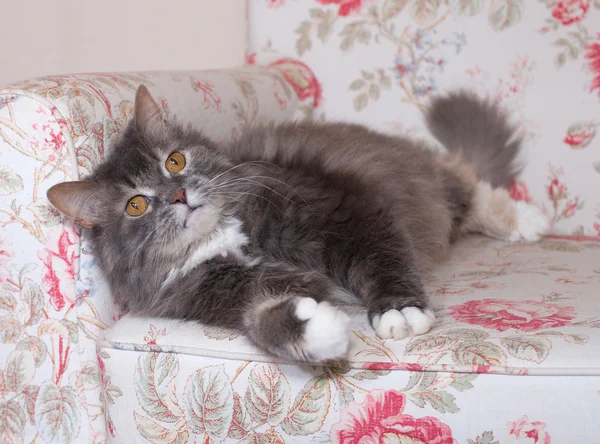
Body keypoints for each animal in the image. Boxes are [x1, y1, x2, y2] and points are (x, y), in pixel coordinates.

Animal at [48, 85, 548, 362]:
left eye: (174, 161)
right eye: (136, 205)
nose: (178, 196)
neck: (225, 237)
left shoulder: (344, 212)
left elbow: (381, 259)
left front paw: (400, 309)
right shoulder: (226, 296)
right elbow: (263, 320)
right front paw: (317, 330)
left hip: (423, 184)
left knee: (469, 186)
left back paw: (527, 219)